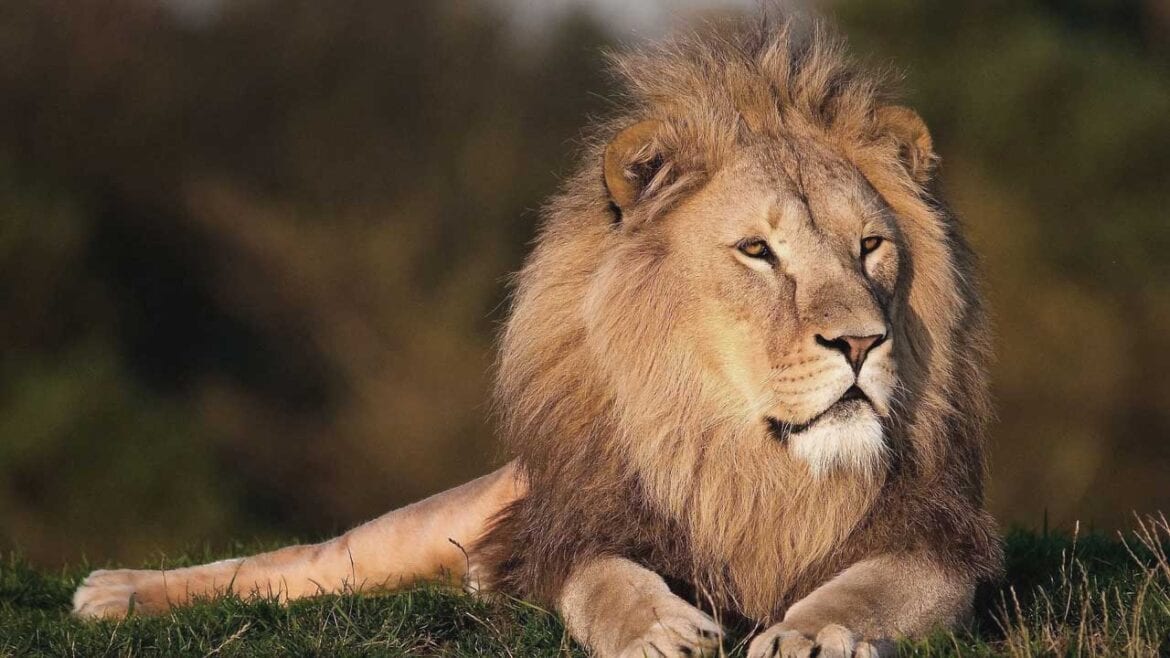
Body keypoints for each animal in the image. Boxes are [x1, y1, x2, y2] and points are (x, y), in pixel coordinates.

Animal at [72, 19, 1002, 658]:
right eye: (757, 252)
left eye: (870, 246)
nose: (862, 343)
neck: (747, 464)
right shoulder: (575, 533)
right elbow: (606, 583)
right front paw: (659, 629)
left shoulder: (937, 545)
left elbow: (869, 589)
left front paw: (811, 632)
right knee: (300, 563)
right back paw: (112, 592)